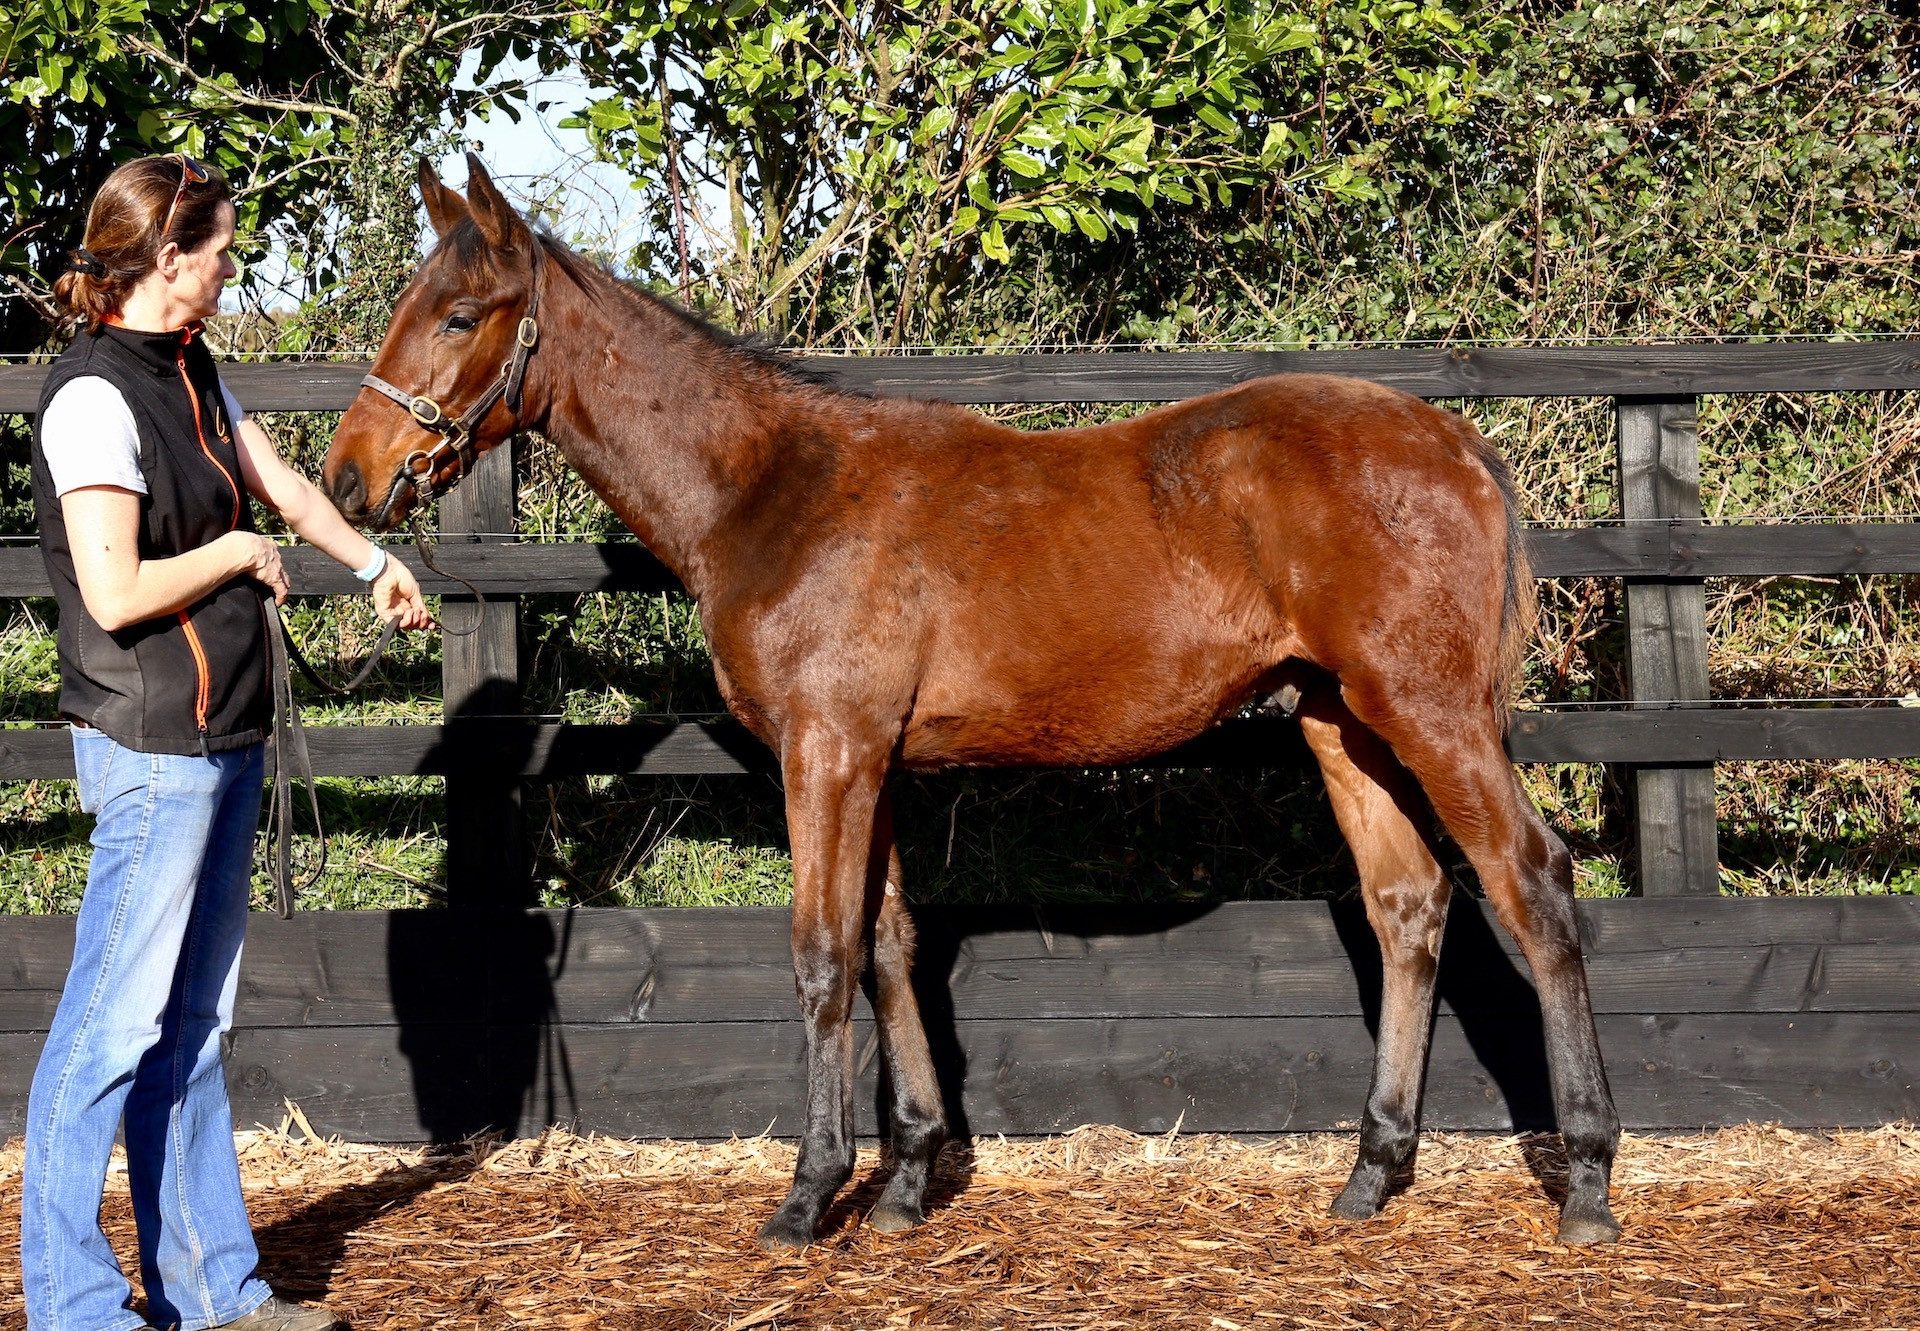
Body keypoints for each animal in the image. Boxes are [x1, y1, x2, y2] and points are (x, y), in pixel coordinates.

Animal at [321, 155, 1622, 1249]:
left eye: (457, 315)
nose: (347, 477)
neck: (774, 491)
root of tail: (1456, 440)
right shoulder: (878, 759)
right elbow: (893, 944)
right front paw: (904, 1180)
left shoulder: (827, 752)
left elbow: (824, 953)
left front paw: (810, 1193)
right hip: (1340, 720)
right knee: (1409, 905)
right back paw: (1370, 1172)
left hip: (1430, 712)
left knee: (1534, 883)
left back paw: (1590, 1183)